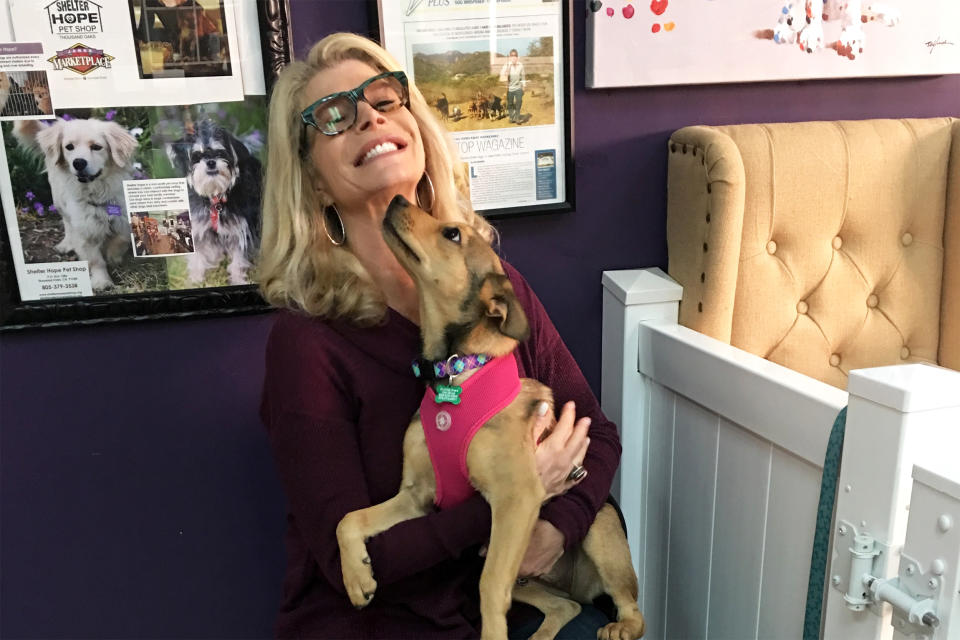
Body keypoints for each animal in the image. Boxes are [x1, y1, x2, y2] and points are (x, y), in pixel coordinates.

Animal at [12, 117, 137, 290]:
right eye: (69, 147)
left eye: (96, 147)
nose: (78, 162)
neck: (97, 192)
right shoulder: (85, 231)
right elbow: (96, 261)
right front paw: (102, 281)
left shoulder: (124, 219)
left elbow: (121, 240)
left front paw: (113, 257)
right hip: (60, 204)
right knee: (67, 225)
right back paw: (66, 244)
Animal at [166, 119, 262, 284]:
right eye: (197, 156)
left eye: (220, 153)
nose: (211, 162)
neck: (215, 197)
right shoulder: (199, 229)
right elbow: (197, 257)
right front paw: (196, 280)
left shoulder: (241, 231)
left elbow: (238, 261)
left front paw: (238, 280)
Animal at [336, 196, 644, 640]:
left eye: (452, 233)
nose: (395, 199)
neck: (454, 372)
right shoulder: (417, 496)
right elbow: (349, 519)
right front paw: (356, 578)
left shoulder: (517, 497)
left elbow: (491, 586)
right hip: (524, 571)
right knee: (564, 606)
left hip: (599, 530)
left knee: (632, 608)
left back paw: (619, 626)